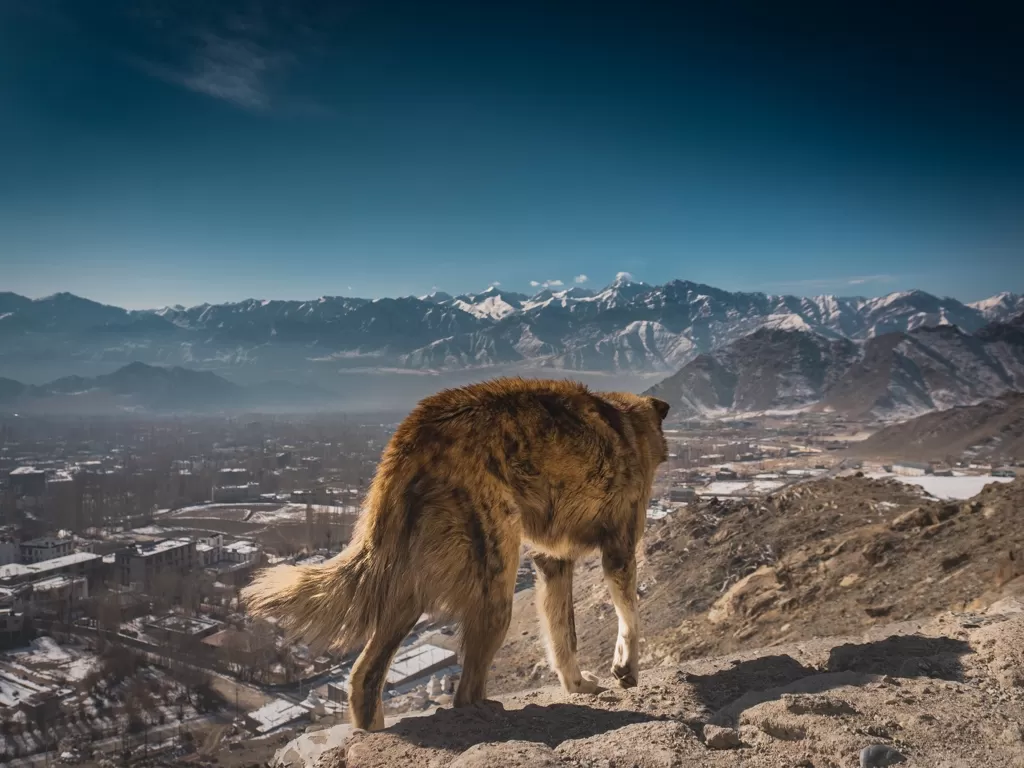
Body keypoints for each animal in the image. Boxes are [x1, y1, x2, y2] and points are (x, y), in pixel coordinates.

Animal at [242, 378, 667, 733]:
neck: (629, 425)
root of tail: (416, 429)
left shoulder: (553, 563)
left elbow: (564, 637)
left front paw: (578, 685)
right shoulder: (619, 551)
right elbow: (630, 616)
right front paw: (625, 669)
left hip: (407, 591)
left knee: (364, 675)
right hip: (494, 586)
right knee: (465, 691)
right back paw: (489, 713)